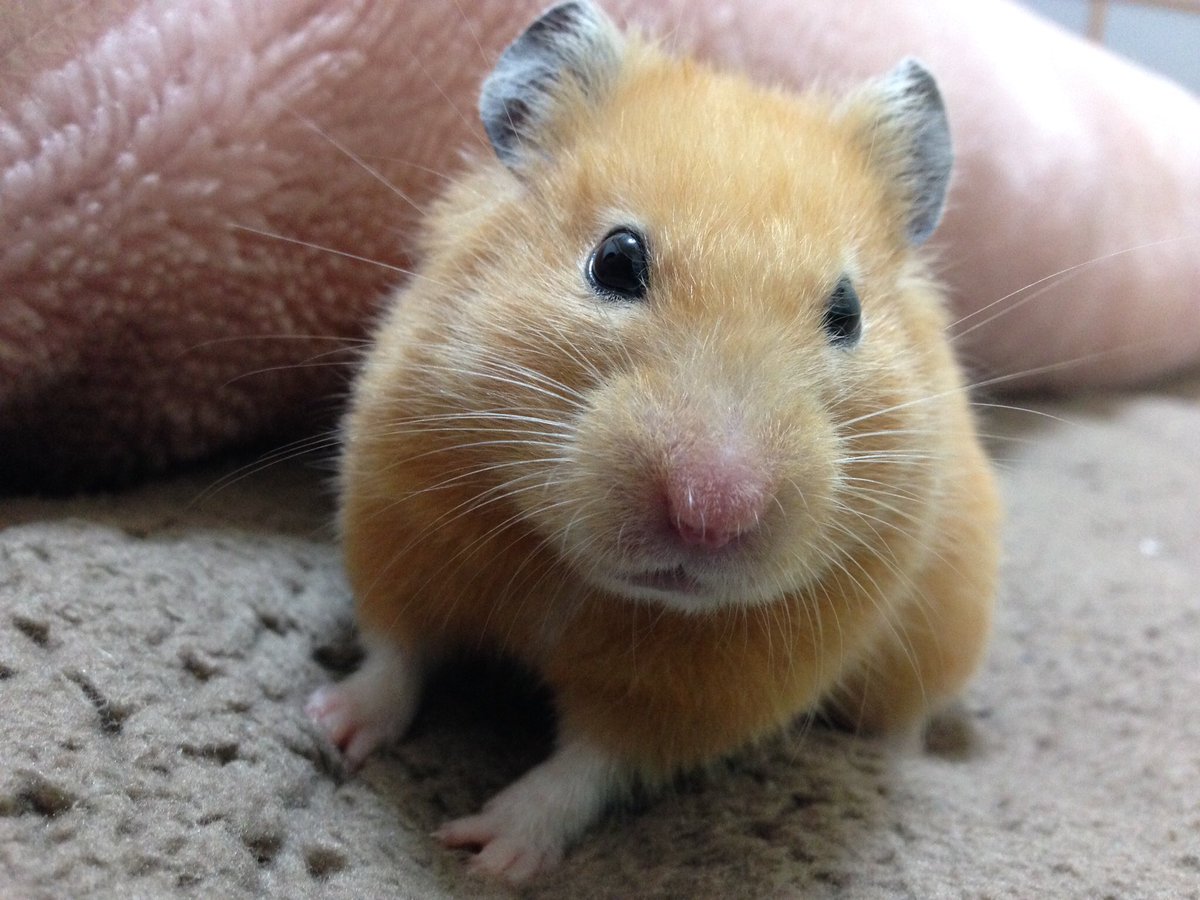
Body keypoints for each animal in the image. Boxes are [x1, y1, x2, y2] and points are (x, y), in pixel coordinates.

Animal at [306, 0, 1001, 883]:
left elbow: (585, 768)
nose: (711, 514)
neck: (583, 580)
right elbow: (395, 654)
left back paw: (900, 752)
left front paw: (484, 852)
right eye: (615, 259)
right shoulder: (398, 519)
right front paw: (326, 728)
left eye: (847, 314)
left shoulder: (702, 694)